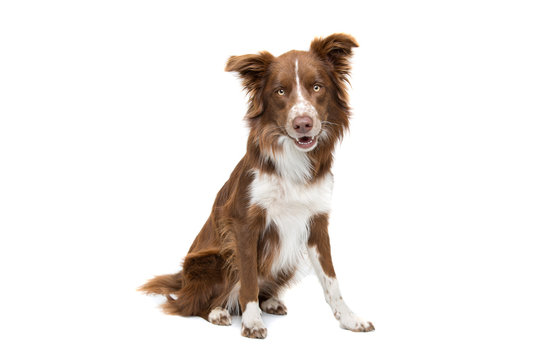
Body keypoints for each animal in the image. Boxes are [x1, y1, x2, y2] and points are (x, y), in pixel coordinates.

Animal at [140, 33, 376, 338]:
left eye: (317, 87)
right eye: (280, 91)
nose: (303, 124)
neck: (293, 161)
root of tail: (182, 280)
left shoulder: (317, 222)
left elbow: (331, 279)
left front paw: (349, 319)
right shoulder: (244, 223)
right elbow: (248, 277)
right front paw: (251, 322)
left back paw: (271, 301)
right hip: (212, 259)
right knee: (188, 304)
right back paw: (217, 312)